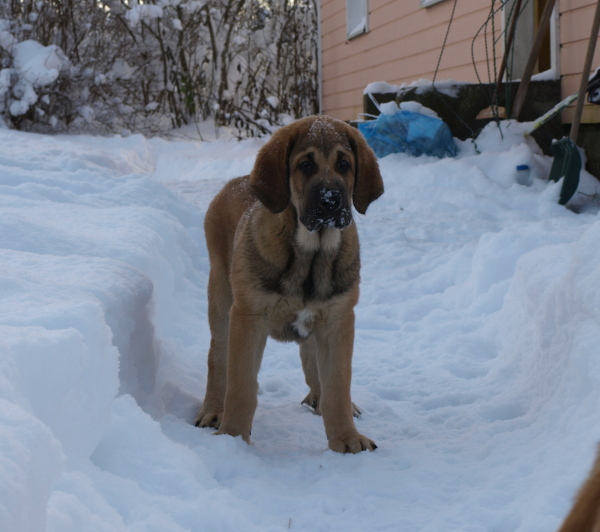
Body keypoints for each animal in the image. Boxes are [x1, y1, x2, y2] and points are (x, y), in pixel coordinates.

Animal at [197, 116, 384, 454]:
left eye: (345, 164)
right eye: (305, 164)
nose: (331, 200)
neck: (311, 255)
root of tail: (238, 181)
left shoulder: (338, 321)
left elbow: (337, 384)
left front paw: (346, 438)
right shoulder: (247, 319)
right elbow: (241, 385)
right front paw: (232, 438)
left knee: (311, 362)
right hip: (220, 298)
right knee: (217, 357)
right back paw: (214, 410)